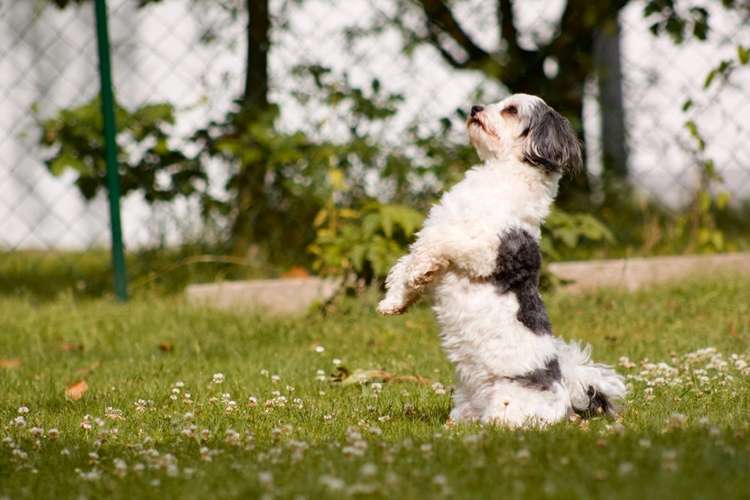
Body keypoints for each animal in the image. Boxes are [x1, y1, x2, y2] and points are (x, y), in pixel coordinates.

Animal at [376, 93, 628, 426]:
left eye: (511, 110)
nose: (474, 108)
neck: (498, 178)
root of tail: (566, 396)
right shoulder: (436, 229)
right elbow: (406, 262)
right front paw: (393, 301)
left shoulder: (486, 249)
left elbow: (437, 244)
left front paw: (420, 271)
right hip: (465, 404)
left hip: (509, 404)